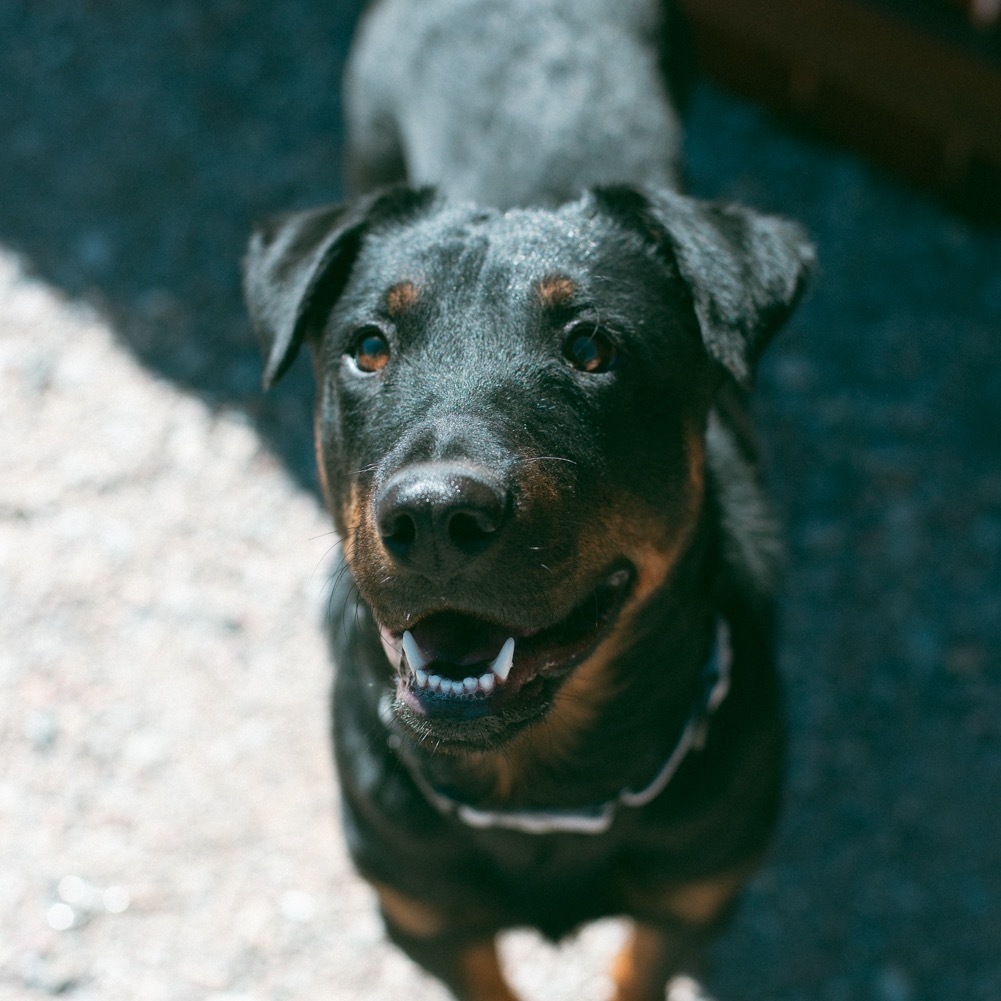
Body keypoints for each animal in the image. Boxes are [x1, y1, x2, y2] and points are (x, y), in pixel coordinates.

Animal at [242, 3, 812, 996]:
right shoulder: (420, 910)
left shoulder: (693, 896)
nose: (435, 517)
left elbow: (635, 967)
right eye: (368, 345)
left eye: (591, 348)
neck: (539, 795)